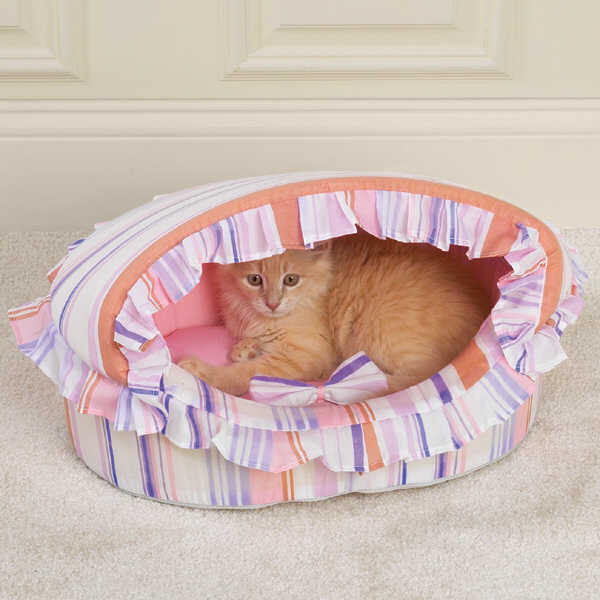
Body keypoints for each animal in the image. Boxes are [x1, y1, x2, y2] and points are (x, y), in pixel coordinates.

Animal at [178, 230, 492, 398]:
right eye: (254, 280)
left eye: (291, 279)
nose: (272, 303)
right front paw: (244, 348)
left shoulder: (307, 354)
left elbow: (244, 374)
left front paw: (201, 372)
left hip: (377, 328)